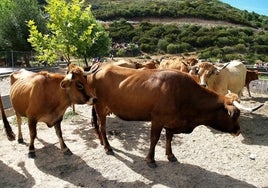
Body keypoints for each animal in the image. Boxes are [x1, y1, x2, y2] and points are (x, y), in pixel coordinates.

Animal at [87, 64, 262, 168]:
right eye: (235, 115)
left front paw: (170, 155)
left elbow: (169, 137)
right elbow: (154, 139)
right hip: (101, 107)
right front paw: (150, 159)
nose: (238, 131)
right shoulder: (157, 119)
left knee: (98, 126)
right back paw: (108, 147)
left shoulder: (171, 121)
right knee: (102, 127)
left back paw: (103, 143)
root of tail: (101, 66)